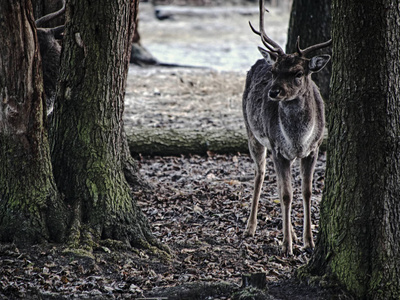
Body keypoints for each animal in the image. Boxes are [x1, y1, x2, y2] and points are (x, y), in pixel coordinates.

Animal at [244, 0, 332, 255]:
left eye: (298, 72)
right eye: (275, 72)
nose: (273, 92)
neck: (298, 139)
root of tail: (263, 58)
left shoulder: (314, 149)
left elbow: (306, 192)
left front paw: (309, 242)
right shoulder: (278, 149)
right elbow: (285, 195)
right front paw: (286, 246)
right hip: (253, 133)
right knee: (260, 173)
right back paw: (250, 228)